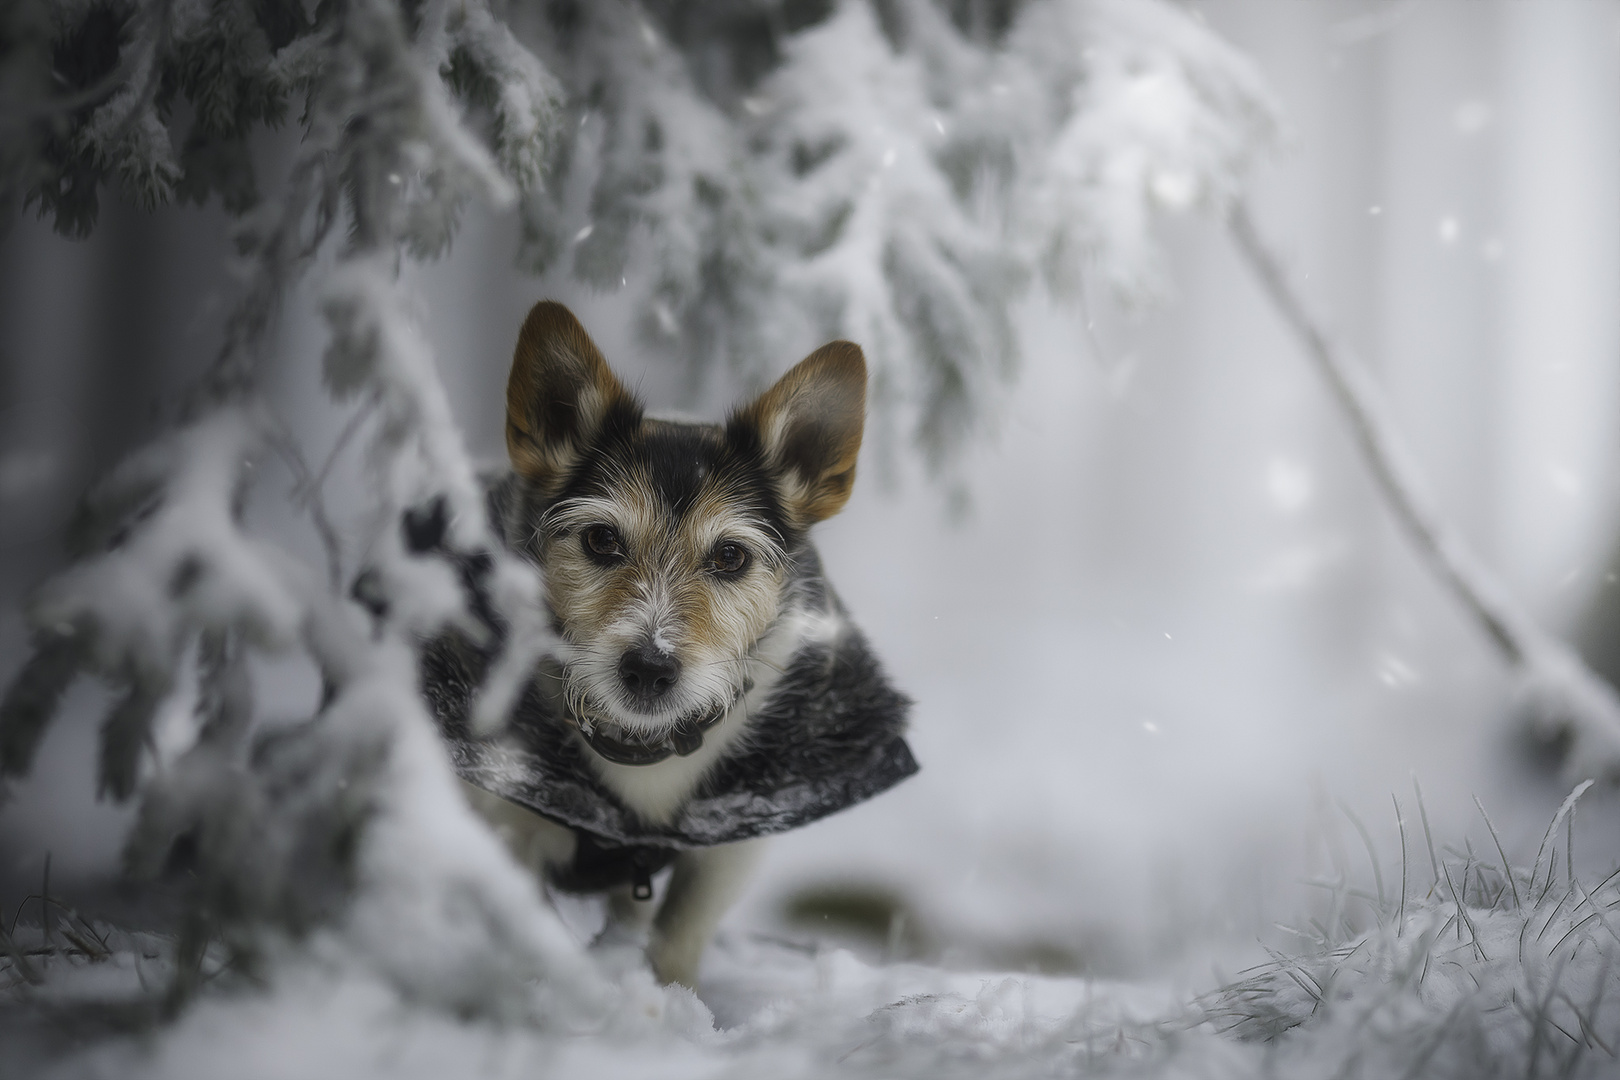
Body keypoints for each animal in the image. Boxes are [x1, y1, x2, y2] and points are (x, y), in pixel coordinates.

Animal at [424, 302, 920, 990]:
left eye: (731, 556)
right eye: (601, 540)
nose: (649, 668)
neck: (643, 749)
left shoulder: (730, 847)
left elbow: (678, 941)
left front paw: (666, 999)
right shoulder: (503, 818)